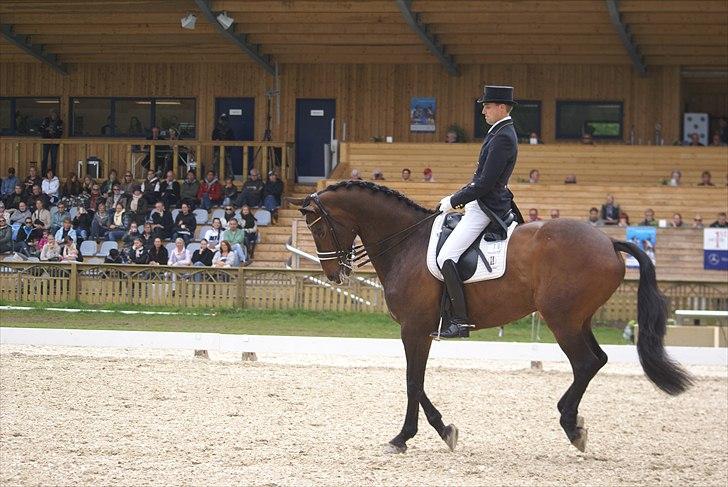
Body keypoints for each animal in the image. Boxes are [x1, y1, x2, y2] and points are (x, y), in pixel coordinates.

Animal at [288, 181, 688, 456]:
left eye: (318, 228)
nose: (334, 275)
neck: (406, 243)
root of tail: (608, 242)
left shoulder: (413, 329)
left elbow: (412, 382)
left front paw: (402, 438)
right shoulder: (421, 331)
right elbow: (418, 383)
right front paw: (445, 430)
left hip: (561, 319)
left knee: (586, 362)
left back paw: (570, 425)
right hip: (578, 319)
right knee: (597, 360)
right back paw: (572, 420)